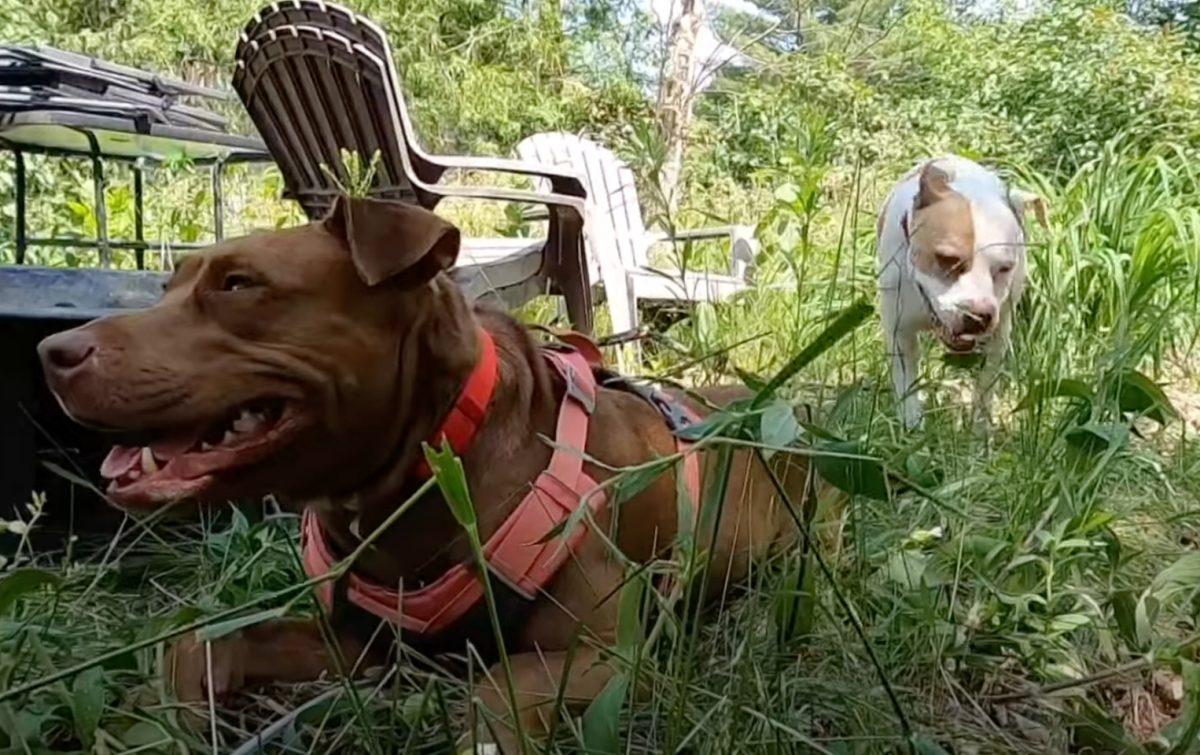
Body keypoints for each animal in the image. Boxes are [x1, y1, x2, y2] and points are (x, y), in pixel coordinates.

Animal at [39, 195, 806, 753]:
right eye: (167, 287)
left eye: (238, 284)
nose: (55, 350)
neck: (428, 461)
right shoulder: (359, 642)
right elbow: (204, 639)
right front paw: (153, 716)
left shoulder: (603, 655)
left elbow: (499, 686)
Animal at [878, 156, 1046, 427]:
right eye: (947, 259)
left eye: (1005, 267)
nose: (978, 315)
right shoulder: (899, 328)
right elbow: (906, 379)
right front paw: (911, 423)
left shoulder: (999, 333)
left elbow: (987, 381)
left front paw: (980, 427)